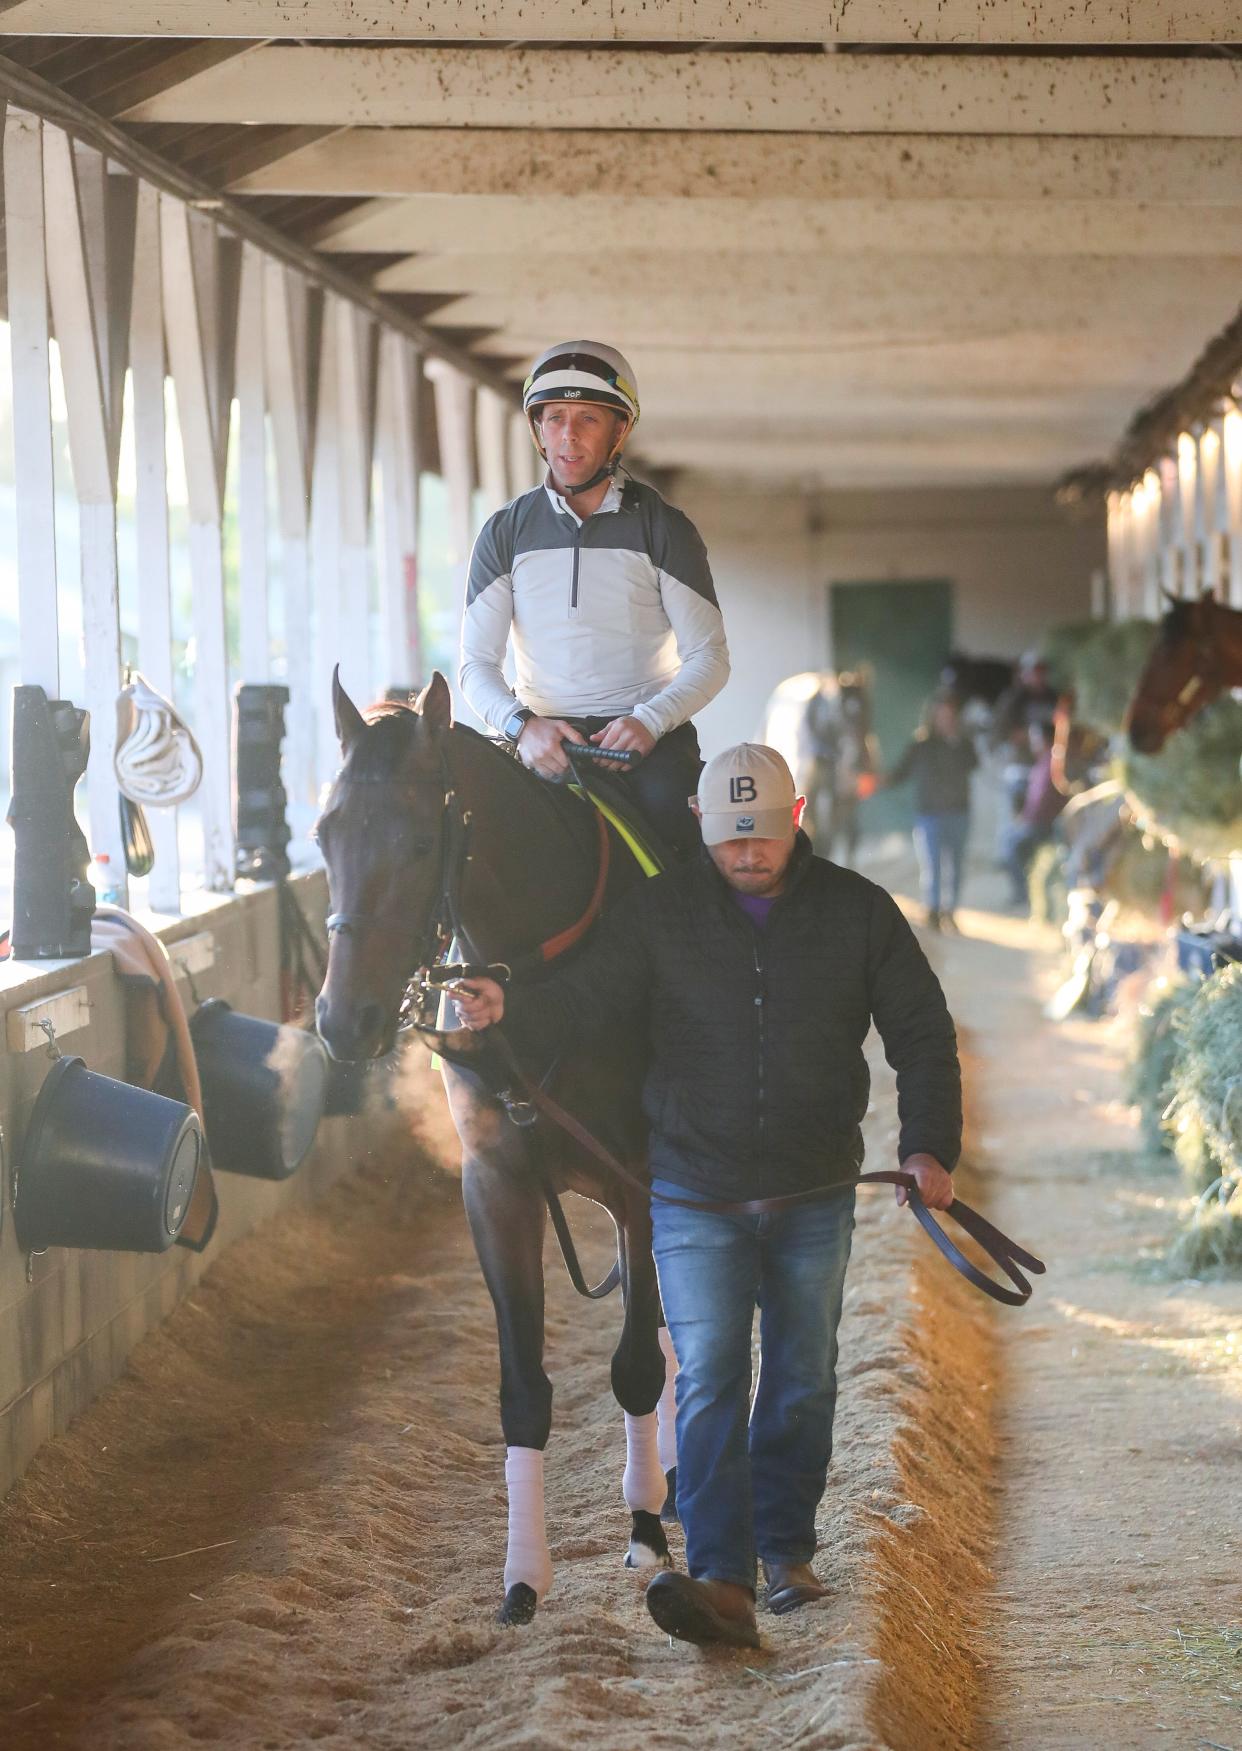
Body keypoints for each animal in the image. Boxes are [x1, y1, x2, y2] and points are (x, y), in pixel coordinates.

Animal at [311, 672, 679, 1624]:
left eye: (417, 840)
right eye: (324, 834)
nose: (344, 1020)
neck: (540, 984)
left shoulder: (642, 1184)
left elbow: (633, 1365)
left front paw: (644, 1527)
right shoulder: (497, 1187)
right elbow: (524, 1389)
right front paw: (524, 1577)